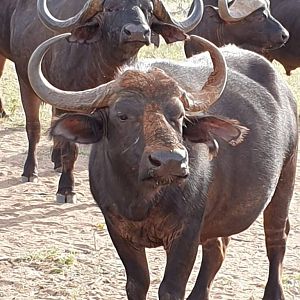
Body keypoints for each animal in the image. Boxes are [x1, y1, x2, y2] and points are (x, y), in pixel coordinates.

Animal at [0, 0, 203, 203]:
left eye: (148, 9)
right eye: (110, 9)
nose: (137, 32)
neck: (99, 65)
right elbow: (71, 150)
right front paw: (66, 189)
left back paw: (56, 160)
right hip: (25, 80)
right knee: (33, 128)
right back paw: (30, 170)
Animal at [28, 33, 298, 300]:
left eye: (178, 114)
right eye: (122, 115)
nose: (170, 161)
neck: (143, 199)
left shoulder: (186, 233)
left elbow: (170, 289)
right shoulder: (117, 228)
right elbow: (137, 283)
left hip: (285, 180)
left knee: (276, 237)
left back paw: (274, 292)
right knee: (217, 248)